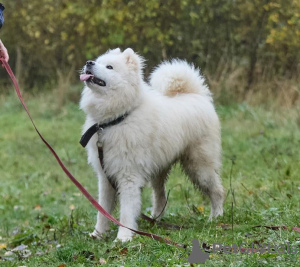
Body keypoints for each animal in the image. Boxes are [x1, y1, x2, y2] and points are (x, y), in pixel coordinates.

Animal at [78, 48, 224, 243]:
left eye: (109, 67)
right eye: (98, 61)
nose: (89, 62)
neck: (117, 119)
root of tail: (197, 95)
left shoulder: (128, 176)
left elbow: (125, 211)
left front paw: (123, 237)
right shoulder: (105, 176)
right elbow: (102, 209)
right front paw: (98, 234)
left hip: (200, 167)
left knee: (217, 191)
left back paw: (216, 217)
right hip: (159, 170)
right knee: (161, 197)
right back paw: (155, 220)